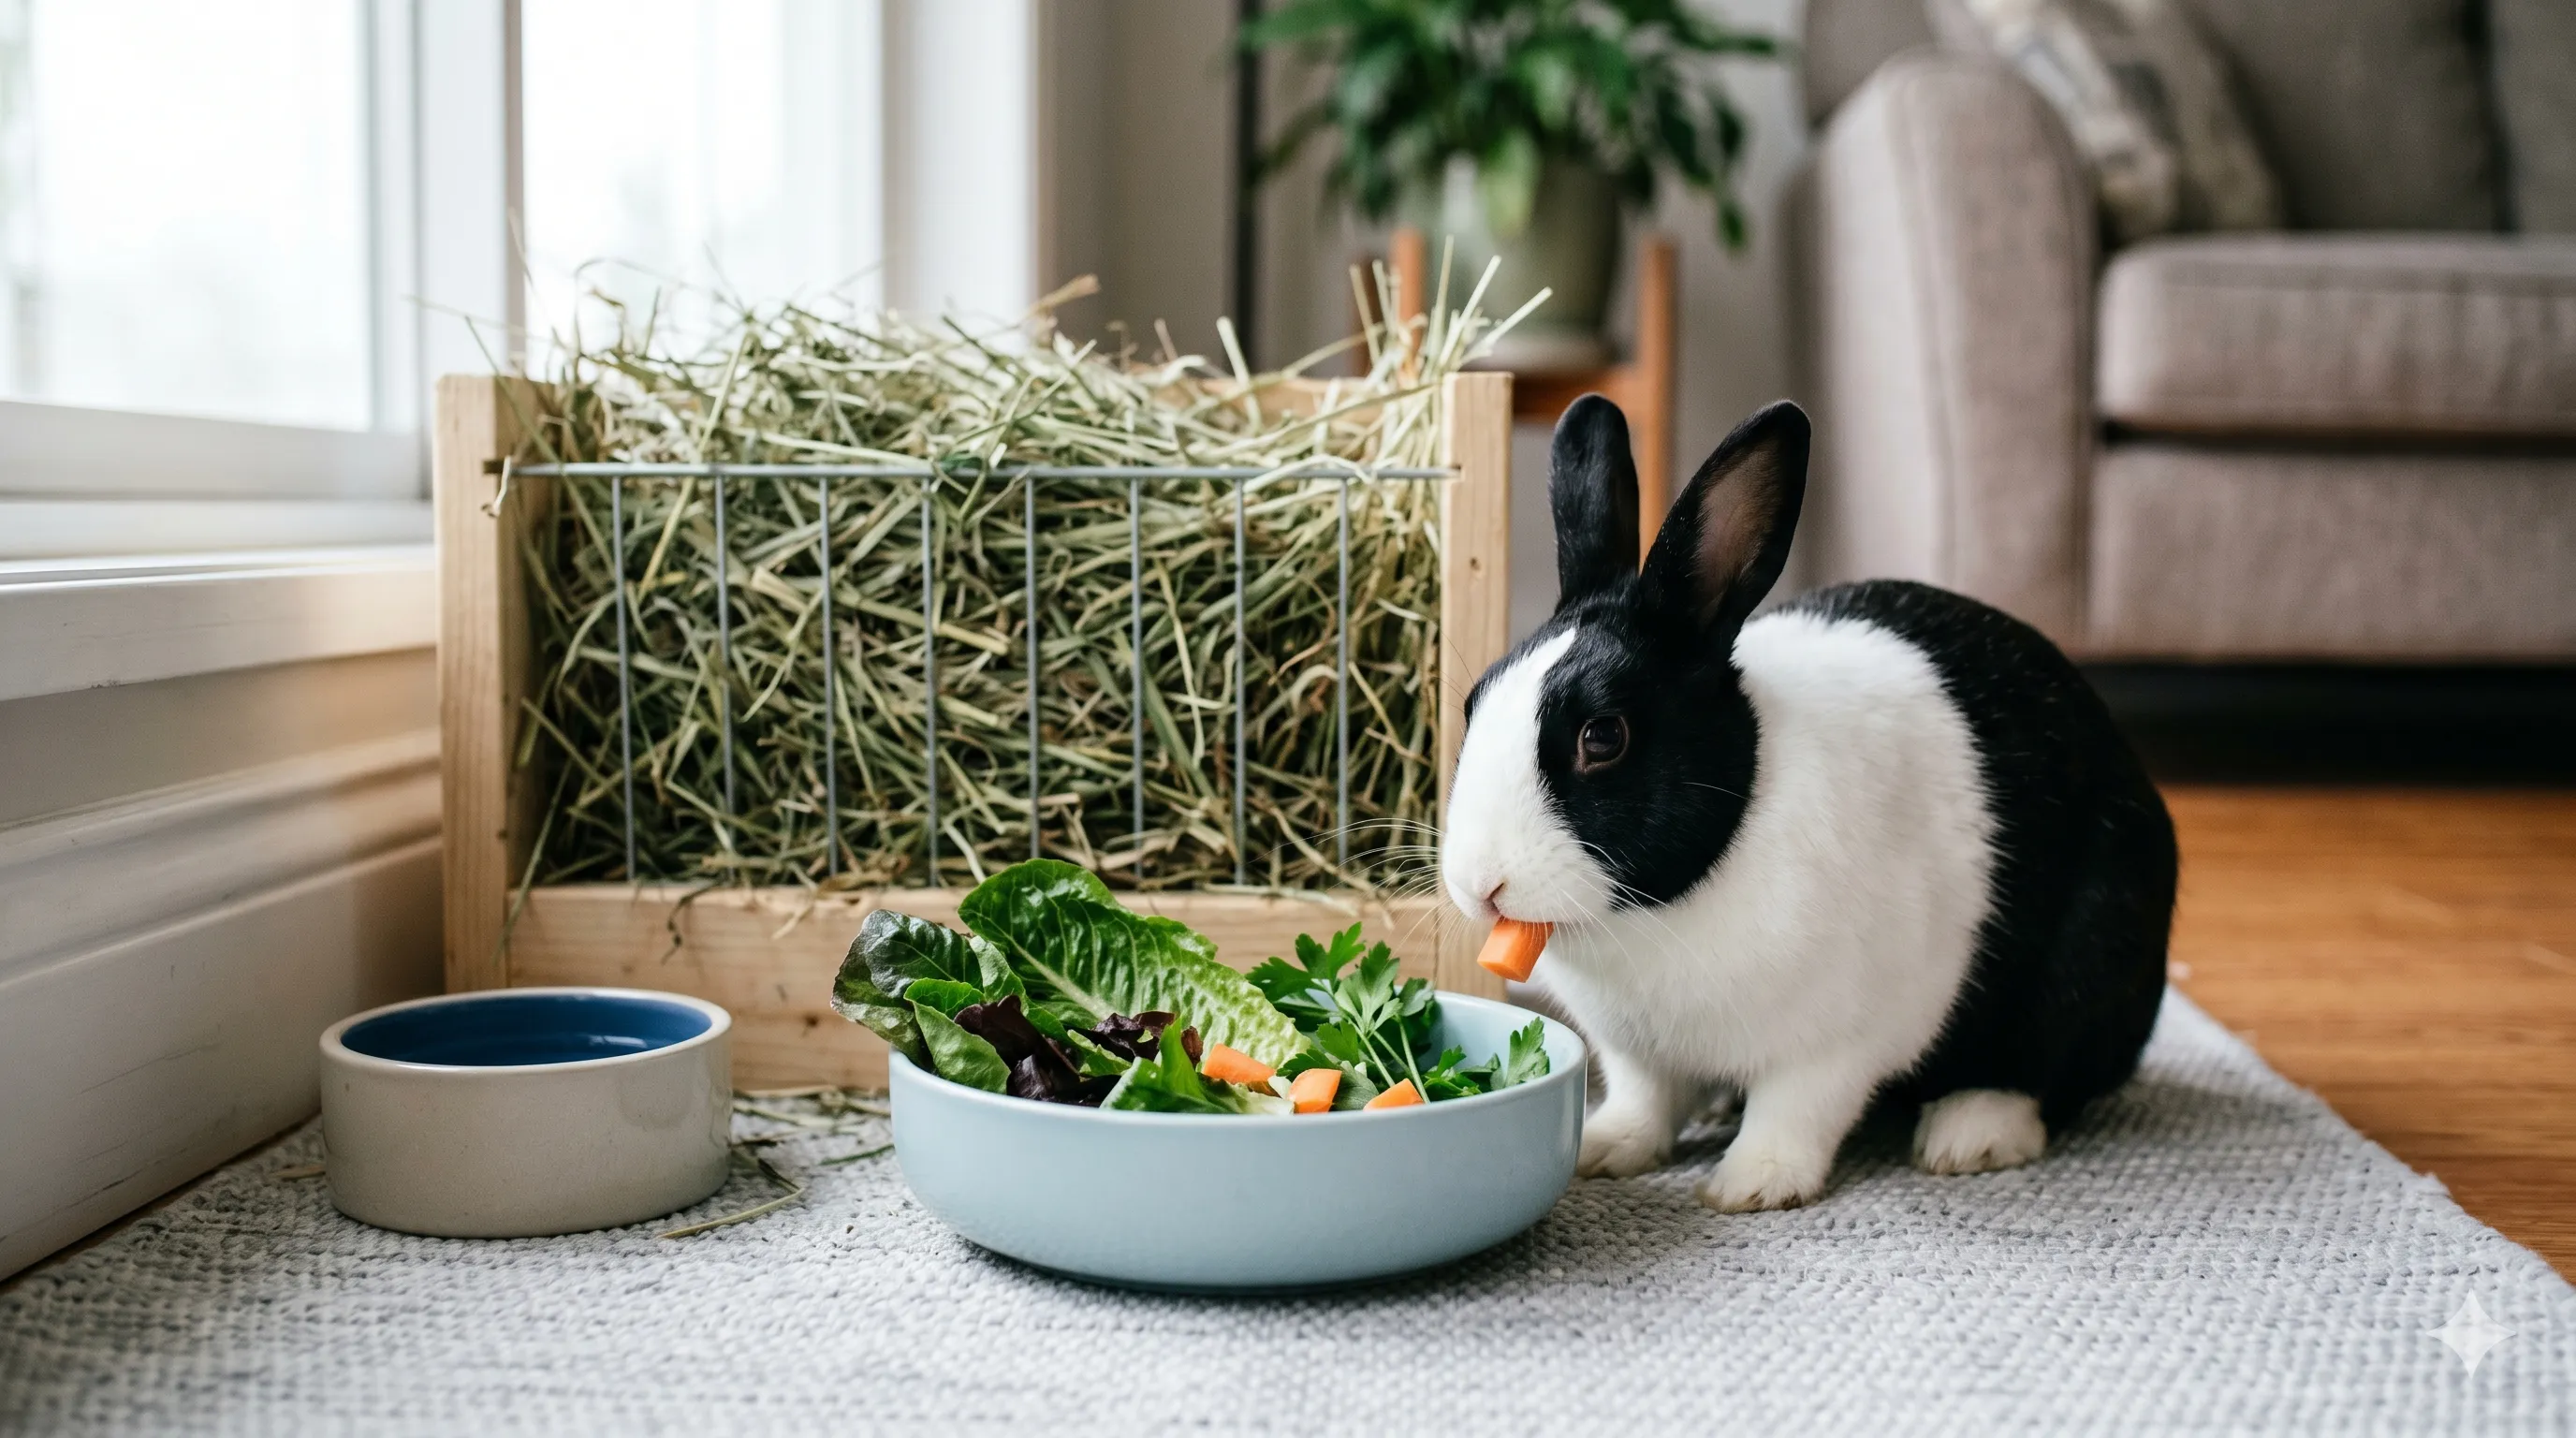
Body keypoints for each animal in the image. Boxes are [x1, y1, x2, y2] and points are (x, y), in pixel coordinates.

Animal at [1440, 396, 2175, 1212]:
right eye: (1475, 704)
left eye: (1603, 738)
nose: (1480, 883)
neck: (1661, 910)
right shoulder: (1636, 1052)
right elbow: (1644, 1099)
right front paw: (1606, 1150)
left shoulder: (1838, 1042)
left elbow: (1796, 1110)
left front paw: (1751, 1186)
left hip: (2087, 962)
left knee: (2044, 1074)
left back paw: (1971, 1134)